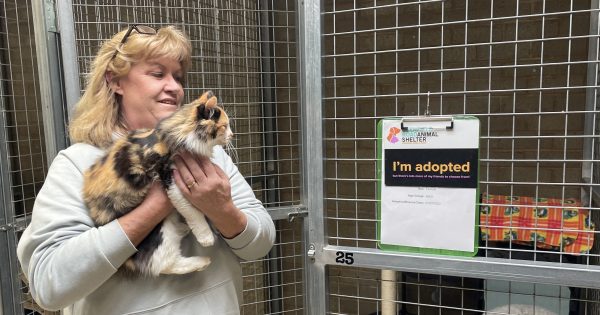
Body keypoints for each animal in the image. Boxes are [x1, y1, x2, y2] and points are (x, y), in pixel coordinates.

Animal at [83, 90, 233, 276]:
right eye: (225, 126)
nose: (232, 135)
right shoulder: (172, 180)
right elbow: (192, 211)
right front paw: (206, 237)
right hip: (159, 233)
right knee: (165, 264)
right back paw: (202, 261)